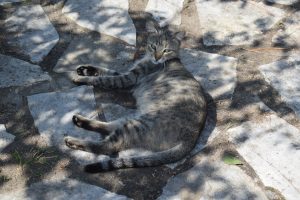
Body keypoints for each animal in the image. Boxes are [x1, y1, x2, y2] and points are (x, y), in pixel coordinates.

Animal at [64, 21, 207, 173]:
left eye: (166, 50)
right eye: (153, 46)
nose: (156, 58)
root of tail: (193, 136)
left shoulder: (128, 79)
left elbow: (102, 79)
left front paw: (80, 78)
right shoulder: (128, 76)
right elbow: (107, 71)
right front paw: (86, 69)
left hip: (138, 125)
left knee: (108, 146)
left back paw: (73, 141)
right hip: (132, 119)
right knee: (109, 127)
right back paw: (80, 121)